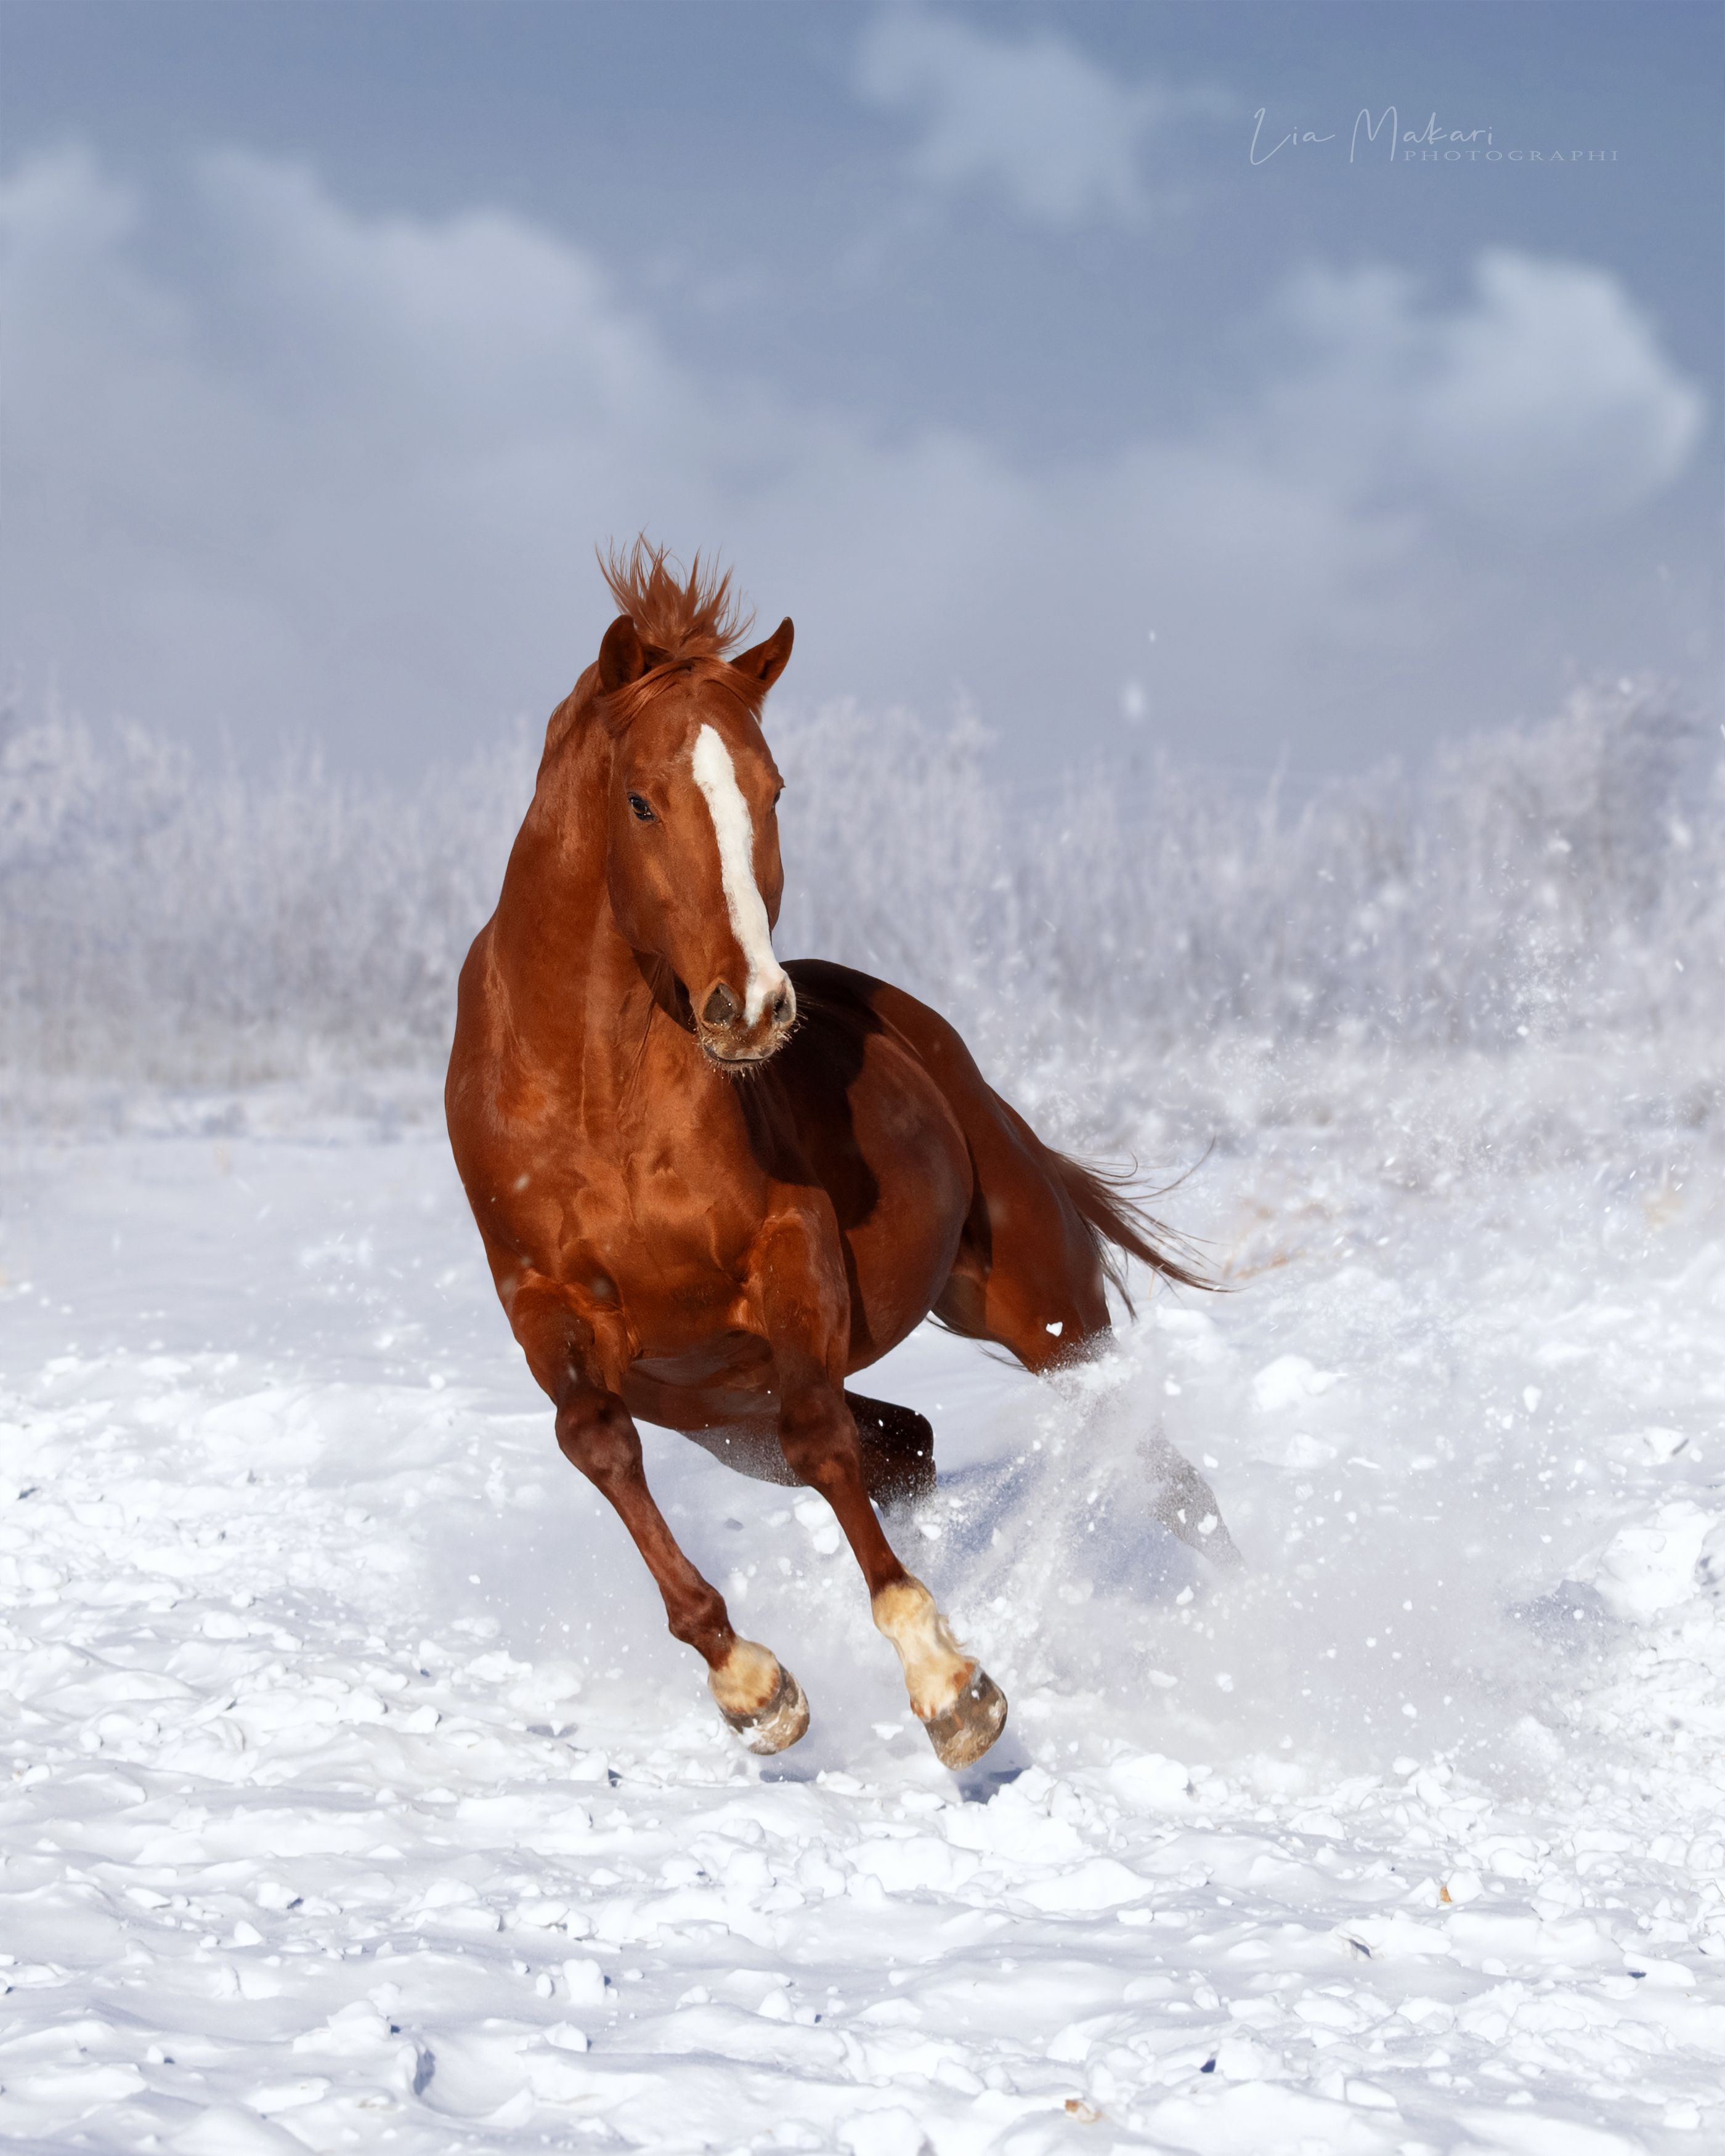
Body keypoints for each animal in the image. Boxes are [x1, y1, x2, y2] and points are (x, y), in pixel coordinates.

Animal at [444, 543, 1225, 1768]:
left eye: (771, 792)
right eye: (641, 798)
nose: (754, 1007)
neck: (595, 1095)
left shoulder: (789, 1252)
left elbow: (821, 1439)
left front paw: (950, 1685)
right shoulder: (546, 1306)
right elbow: (598, 1443)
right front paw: (751, 1685)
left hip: (1042, 1314)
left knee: (1156, 1473)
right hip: (725, 1419)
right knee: (910, 1444)